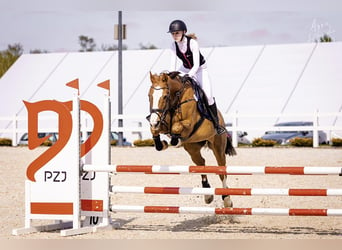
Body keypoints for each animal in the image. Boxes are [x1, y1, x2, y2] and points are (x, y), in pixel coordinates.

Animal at [147, 71, 235, 207]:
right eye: (149, 96)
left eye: (165, 96)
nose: (153, 122)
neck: (176, 98)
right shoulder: (162, 122)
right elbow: (155, 131)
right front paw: (163, 144)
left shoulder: (188, 125)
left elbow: (176, 127)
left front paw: (174, 140)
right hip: (192, 149)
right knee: (201, 163)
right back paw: (207, 194)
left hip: (218, 146)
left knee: (221, 170)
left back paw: (226, 199)